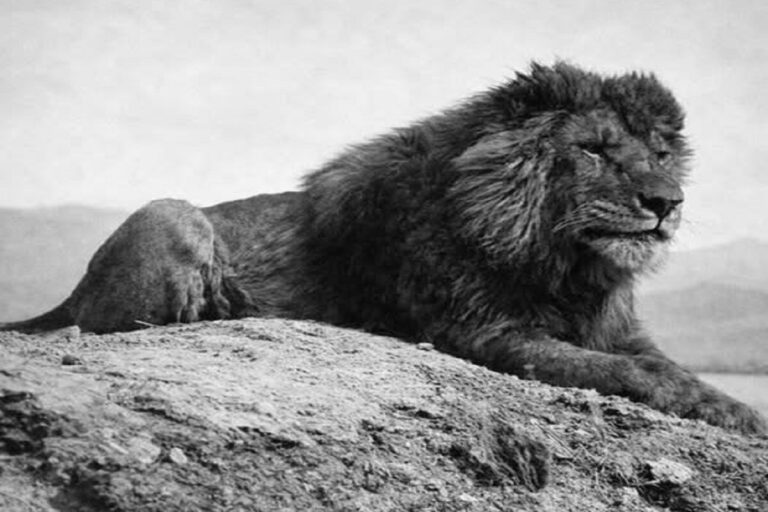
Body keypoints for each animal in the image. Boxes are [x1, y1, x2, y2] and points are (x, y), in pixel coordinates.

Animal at [3, 62, 765, 435]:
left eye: (660, 152)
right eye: (596, 150)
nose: (667, 202)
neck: (562, 261)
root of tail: (67, 292)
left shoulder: (616, 328)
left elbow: (666, 367)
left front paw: (737, 409)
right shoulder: (484, 333)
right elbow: (627, 373)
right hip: (173, 214)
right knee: (110, 323)